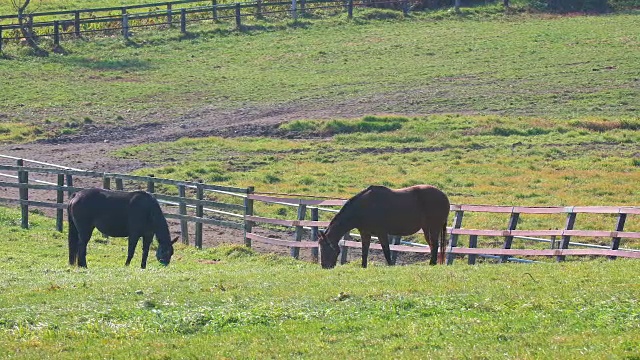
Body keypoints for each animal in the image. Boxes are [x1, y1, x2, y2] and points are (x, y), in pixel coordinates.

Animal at [316, 186, 448, 268]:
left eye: (325, 247)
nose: (324, 266)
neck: (362, 208)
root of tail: (443, 195)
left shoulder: (382, 233)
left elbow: (386, 250)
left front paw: (390, 265)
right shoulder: (365, 233)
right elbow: (364, 251)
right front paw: (363, 266)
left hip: (434, 227)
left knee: (435, 245)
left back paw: (432, 264)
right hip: (427, 228)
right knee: (432, 245)